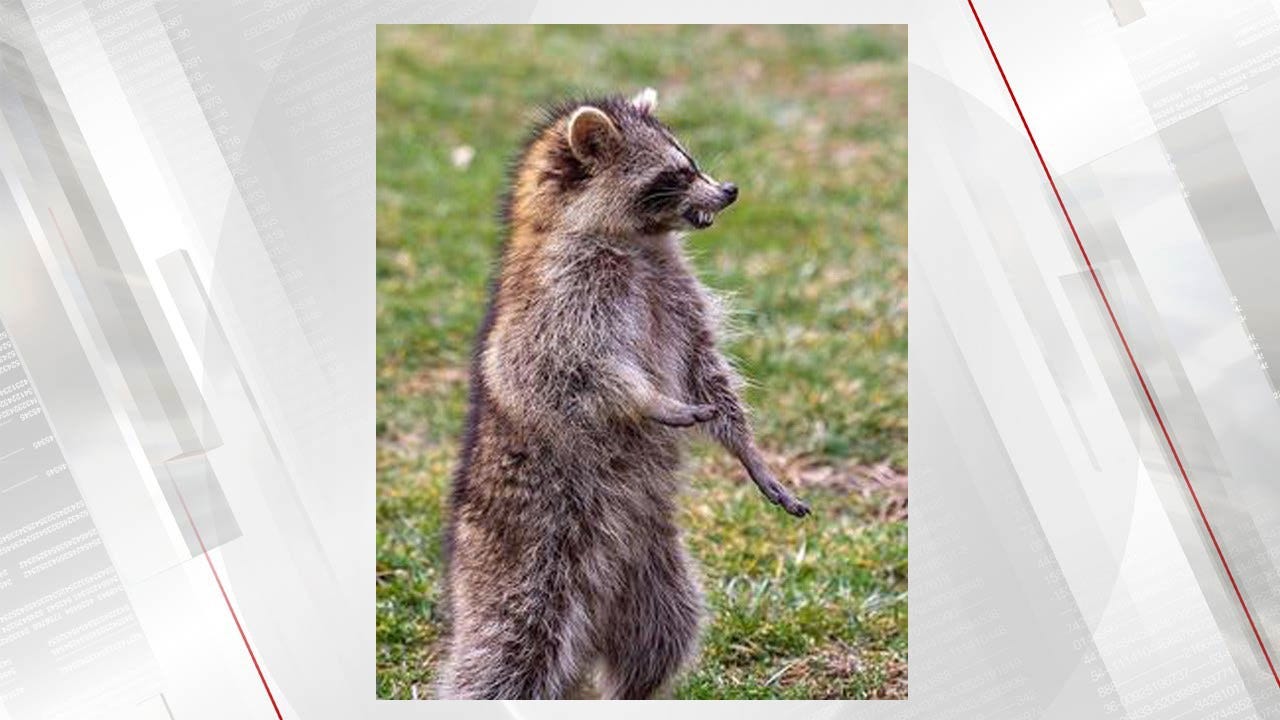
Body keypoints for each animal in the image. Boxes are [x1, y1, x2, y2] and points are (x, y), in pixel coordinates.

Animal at [435, 88, 810, 700]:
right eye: (675, 173)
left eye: (692, 161)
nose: (730, 190)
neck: (636, 242)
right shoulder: (557, 296)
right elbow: (556, 369)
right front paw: (647, 400)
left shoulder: (677, 292)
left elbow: (707, 369)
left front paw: (749, 451)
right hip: (522, 560)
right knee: (505, 655)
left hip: (652, 571)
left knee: (663, 634)